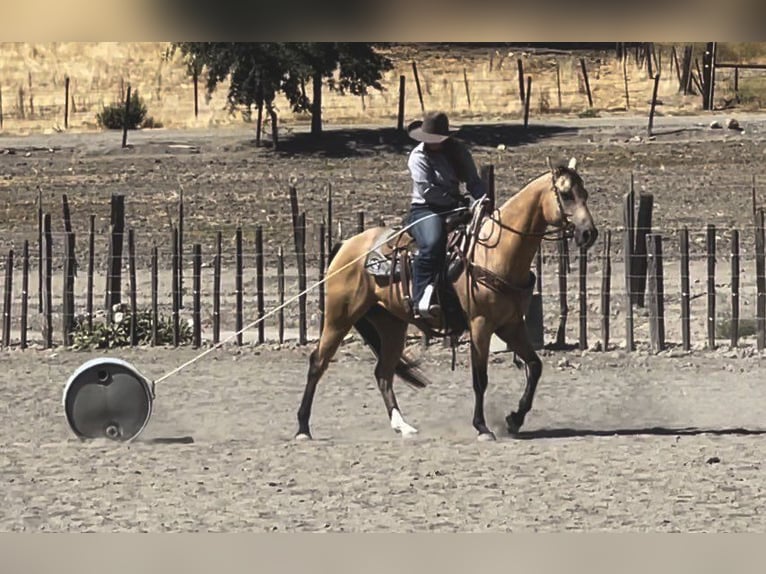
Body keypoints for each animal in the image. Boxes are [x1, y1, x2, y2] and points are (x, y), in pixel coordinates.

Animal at [294, 156, 600, 440]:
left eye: (585, 193)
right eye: (565, 194)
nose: (589, 233)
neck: (497, 250)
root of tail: (347, 245)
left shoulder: (511, 324)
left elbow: (535, 366)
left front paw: (515, 419)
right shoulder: (480, 324)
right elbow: (480, 378)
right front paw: (482, 427)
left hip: (391, 324)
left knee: (383, 373)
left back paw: (403, 426)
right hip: (339, 316)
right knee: (317, 362)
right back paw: (302, 427)